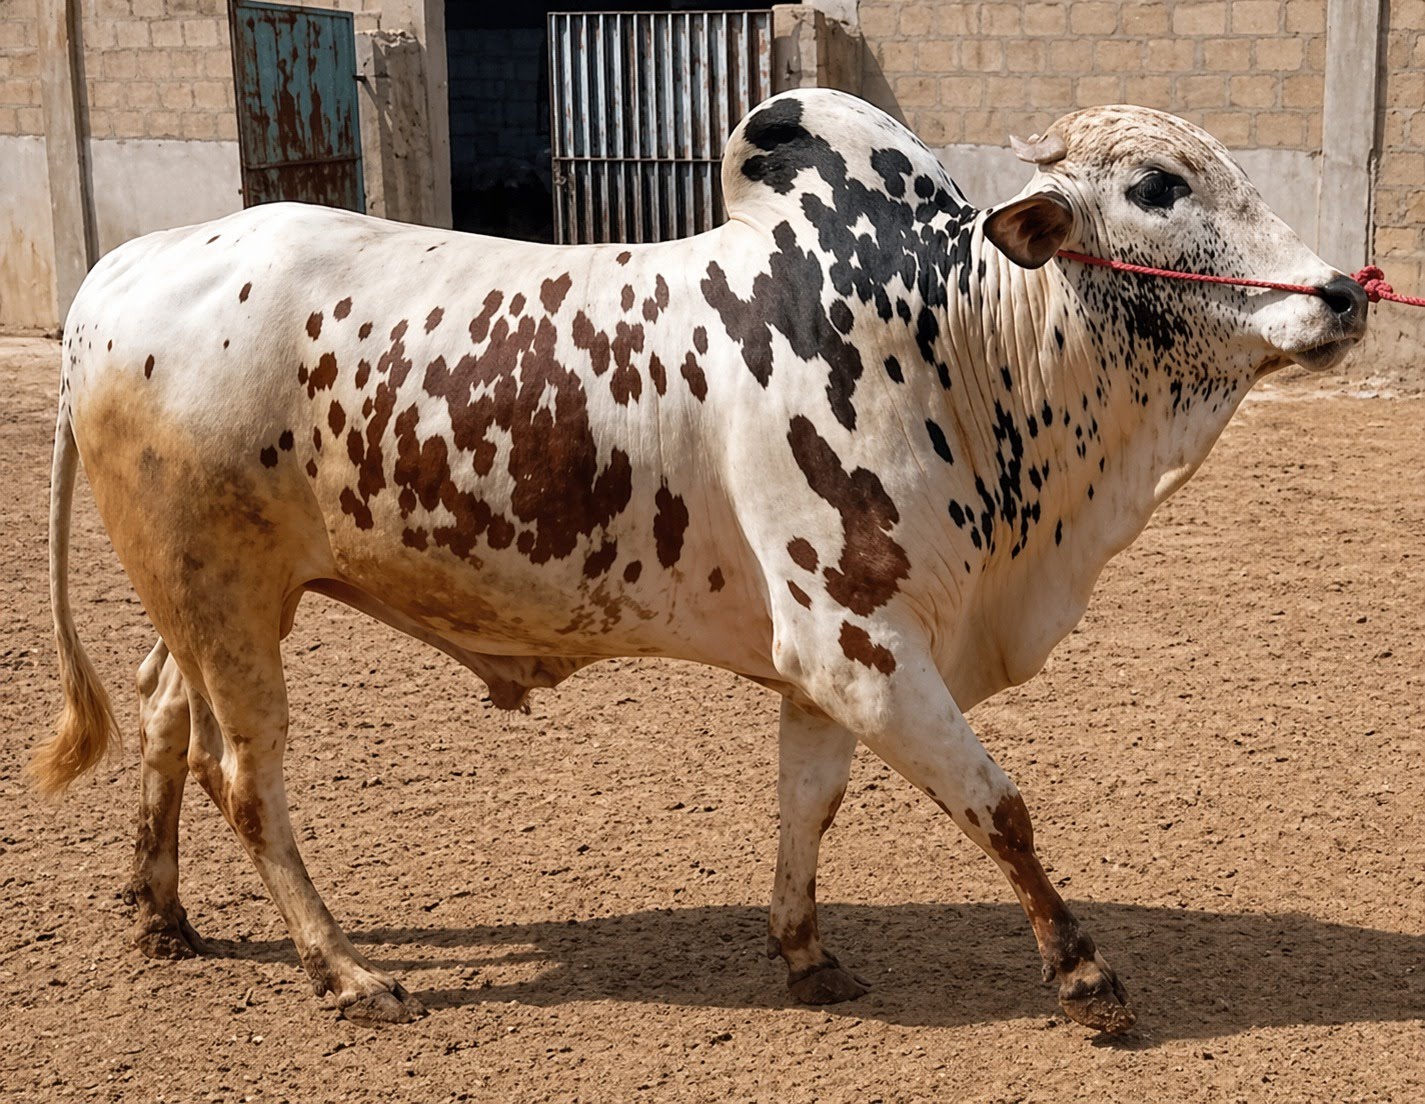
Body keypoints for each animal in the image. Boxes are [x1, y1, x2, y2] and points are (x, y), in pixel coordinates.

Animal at [37, 89, 1368, 1035]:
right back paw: (345, 971)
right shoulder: (859, 645)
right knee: (245, 777)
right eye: (1156, 186)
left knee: (160, 713)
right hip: (226, 601)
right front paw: (1086, 976)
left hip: (213, 597)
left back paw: (160, 912)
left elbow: (808, 807)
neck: (957, 341)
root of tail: (120, 271)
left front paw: (806, 955)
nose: (1343, 294)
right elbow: (1000, 807)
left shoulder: (835, 663)